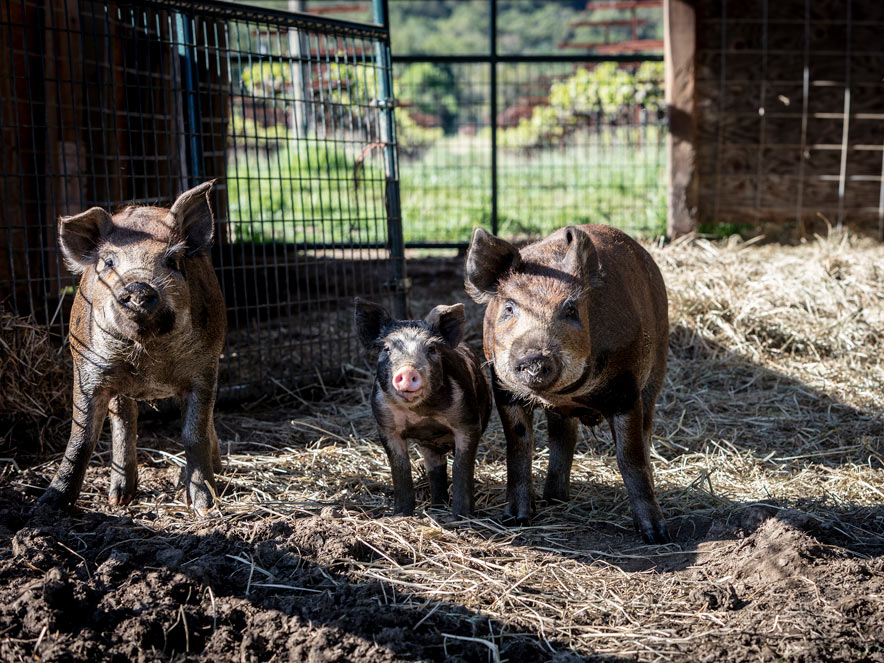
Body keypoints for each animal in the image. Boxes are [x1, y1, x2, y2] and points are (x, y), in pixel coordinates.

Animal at [41, 183, 228, 520]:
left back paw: (214, 472)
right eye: (108, 262)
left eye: (172, 261)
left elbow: (193, 434)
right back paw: (119, 499)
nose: (140, 288)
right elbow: (80, 440)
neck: (147, 361)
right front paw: (47, 505)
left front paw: (205, 508)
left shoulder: (205, 369)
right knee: (124, 420)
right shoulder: (86, 369)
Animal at [354, 298, 494, 516]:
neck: (420, 414)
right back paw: (436, 507)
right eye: (386, 349)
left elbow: (461, 468)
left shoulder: (469, 423)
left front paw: (460, 516)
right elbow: (401, 469)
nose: (408, 371)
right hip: (428, 446)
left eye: (431, 349)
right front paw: (401, 514)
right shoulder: (385, 427)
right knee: (435, 469)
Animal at [466, 226, 668, 544]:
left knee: (645, 434)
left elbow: (630, 457)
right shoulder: (504, 390)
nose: (535, 357)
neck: (562, 394)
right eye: (509, 308)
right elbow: (519, 447)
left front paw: (656, 536)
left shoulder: (626, 390)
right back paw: (554, 499)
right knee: (563, 436)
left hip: (656, 372)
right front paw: (515, 519)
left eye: (571, 310)